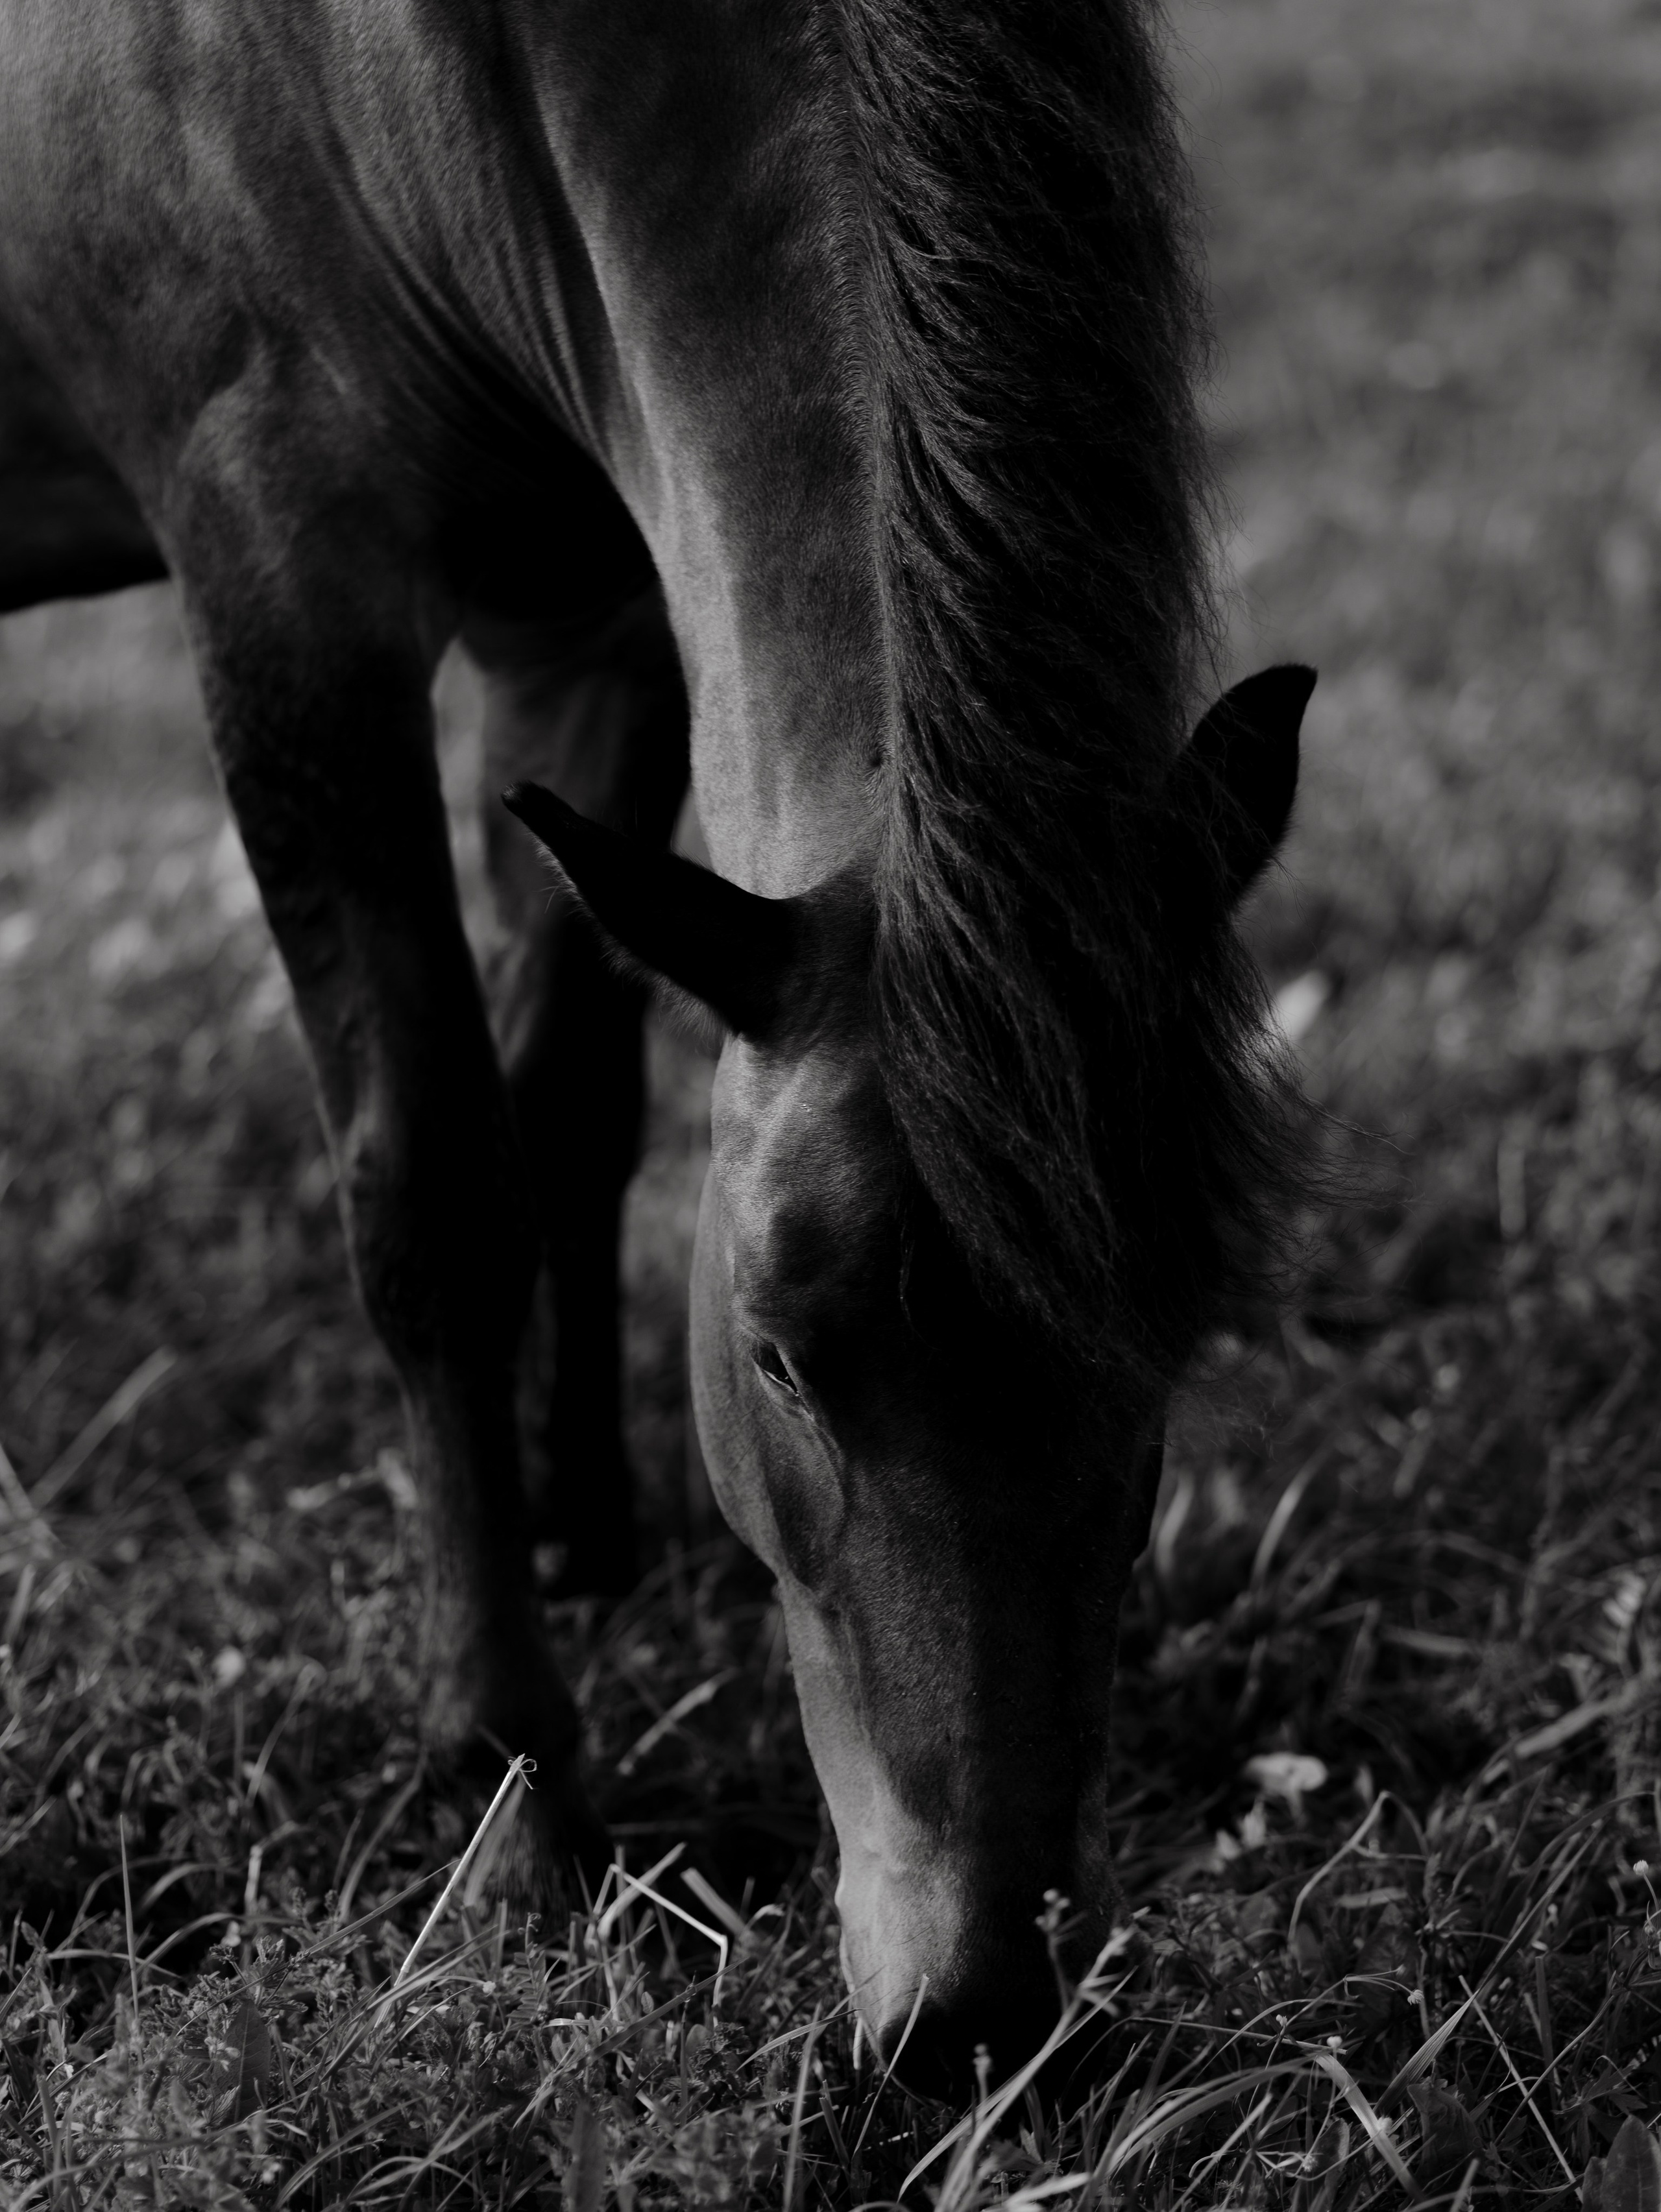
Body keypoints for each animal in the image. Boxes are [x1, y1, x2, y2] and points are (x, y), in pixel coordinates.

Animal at [0, 0, 1313, 2096]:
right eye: (779, 1352)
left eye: (1173, 1342)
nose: (978, 2021)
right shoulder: (280, 572)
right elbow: (437, 1187)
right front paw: (514, 1796)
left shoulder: (589, 606)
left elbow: (571, 1111)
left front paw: (586, 1527)